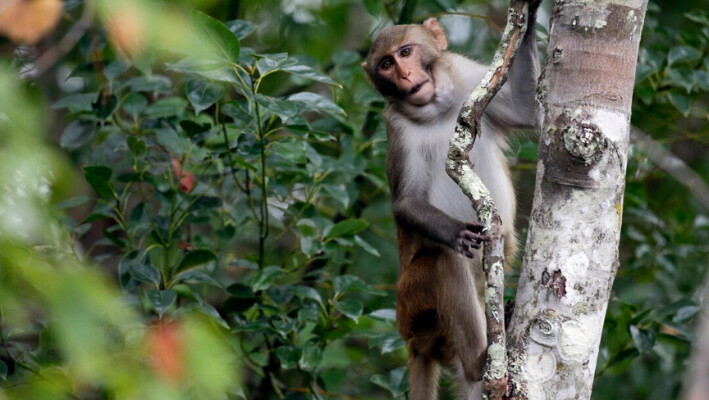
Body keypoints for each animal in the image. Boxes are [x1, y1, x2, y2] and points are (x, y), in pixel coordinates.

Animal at [362, 1, 540, 398]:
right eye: (386, 64)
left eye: (406, 52)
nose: (405, 75)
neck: (437, 109)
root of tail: (413, 343)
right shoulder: (396, 126)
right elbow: (406, 203)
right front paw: (457, 231)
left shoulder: (467, 77)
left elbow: (525, 109)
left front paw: (533, 15)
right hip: (412, 304)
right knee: (444, 261)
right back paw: (478, 362)